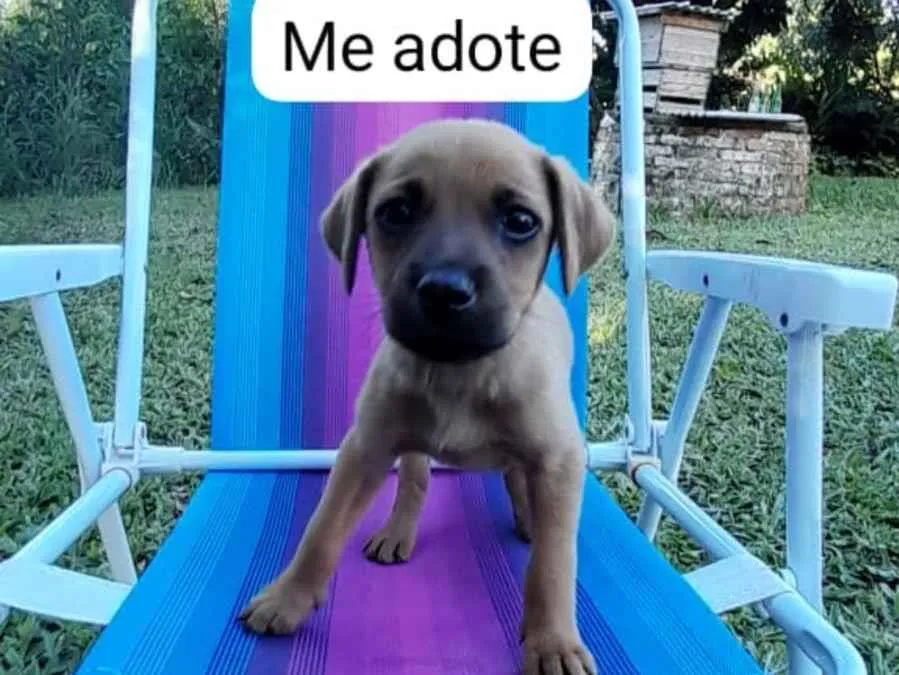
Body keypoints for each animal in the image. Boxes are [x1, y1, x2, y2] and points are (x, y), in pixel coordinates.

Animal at [239, 118, 615, 675]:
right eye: (395, 212)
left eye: (520, 221)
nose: (444, 290)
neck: (462, 371)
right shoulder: (364, 449)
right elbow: (321, 528)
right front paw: (288, 596)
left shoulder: (558, 457)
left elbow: (553, 561)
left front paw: (553, 641)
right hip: (409, 443)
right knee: (416, 480)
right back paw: (399, 529)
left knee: (521, 485)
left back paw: (529, 517)